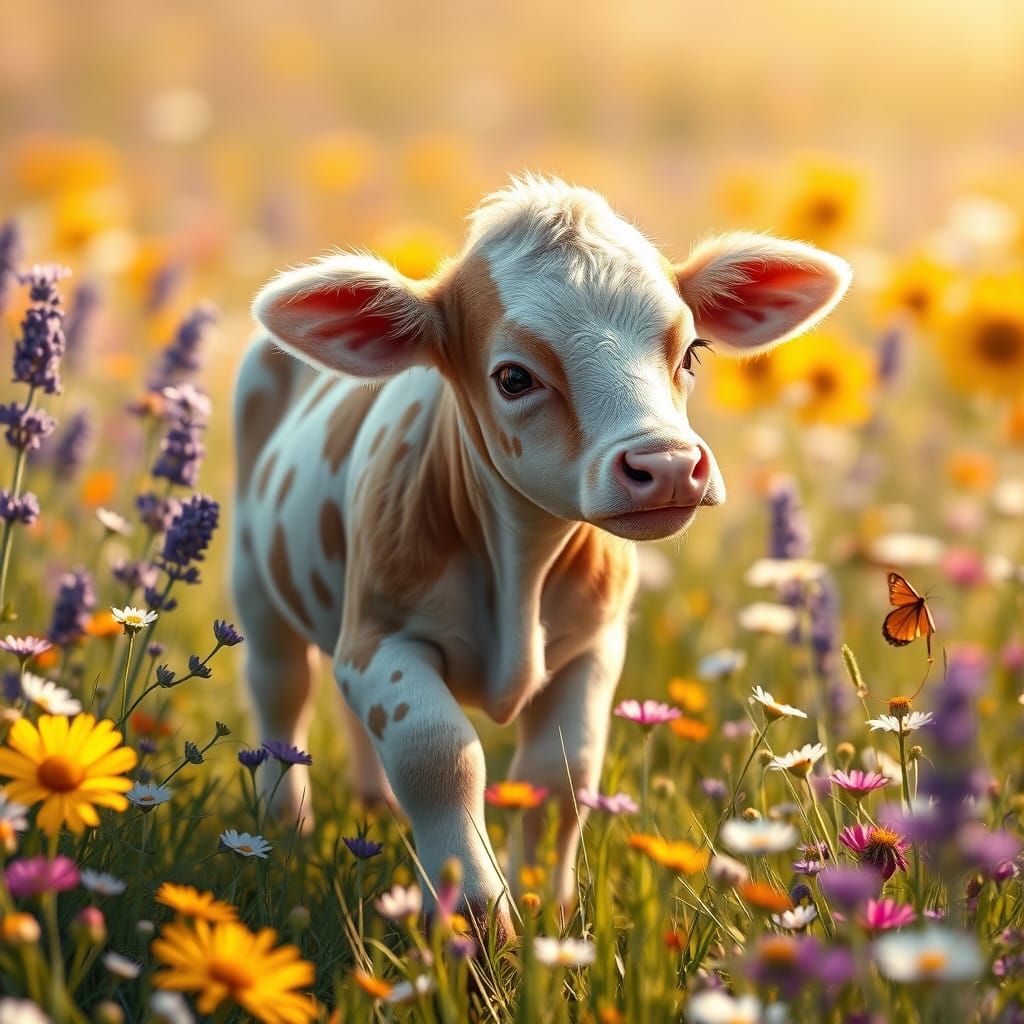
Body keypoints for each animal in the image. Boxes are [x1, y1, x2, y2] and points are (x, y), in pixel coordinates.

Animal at [231, 174, 851, 937]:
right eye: (514, 378)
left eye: (691, 353)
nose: (669, 466)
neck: (521, 564)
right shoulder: (380, 640)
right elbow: (439, 753)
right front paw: (475, 920)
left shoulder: (594, 644)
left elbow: (565, 773)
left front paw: (542, 913)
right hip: (254, 580)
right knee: (280, 692)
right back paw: (283, 829)